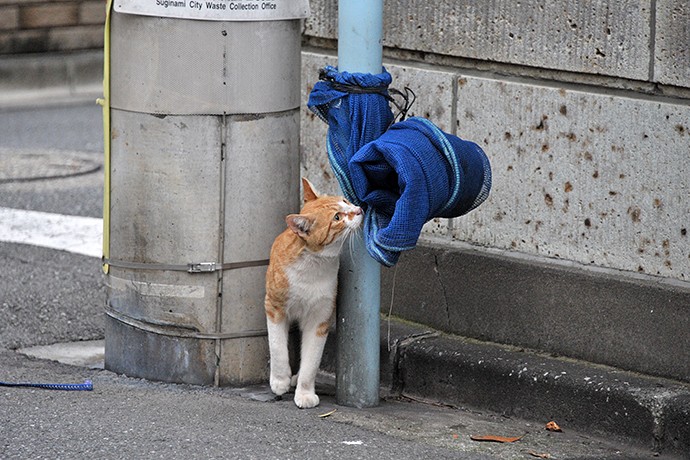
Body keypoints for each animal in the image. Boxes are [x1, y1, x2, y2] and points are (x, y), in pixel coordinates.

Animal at [264, 178, 362, 408]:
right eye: (337, 217)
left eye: (345, 201)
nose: (359, 209)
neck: (313, 266)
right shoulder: (274, 307)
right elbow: (277, 347)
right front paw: (279, 381)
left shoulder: (320, 319)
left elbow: (311, 362)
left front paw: (305, 394)